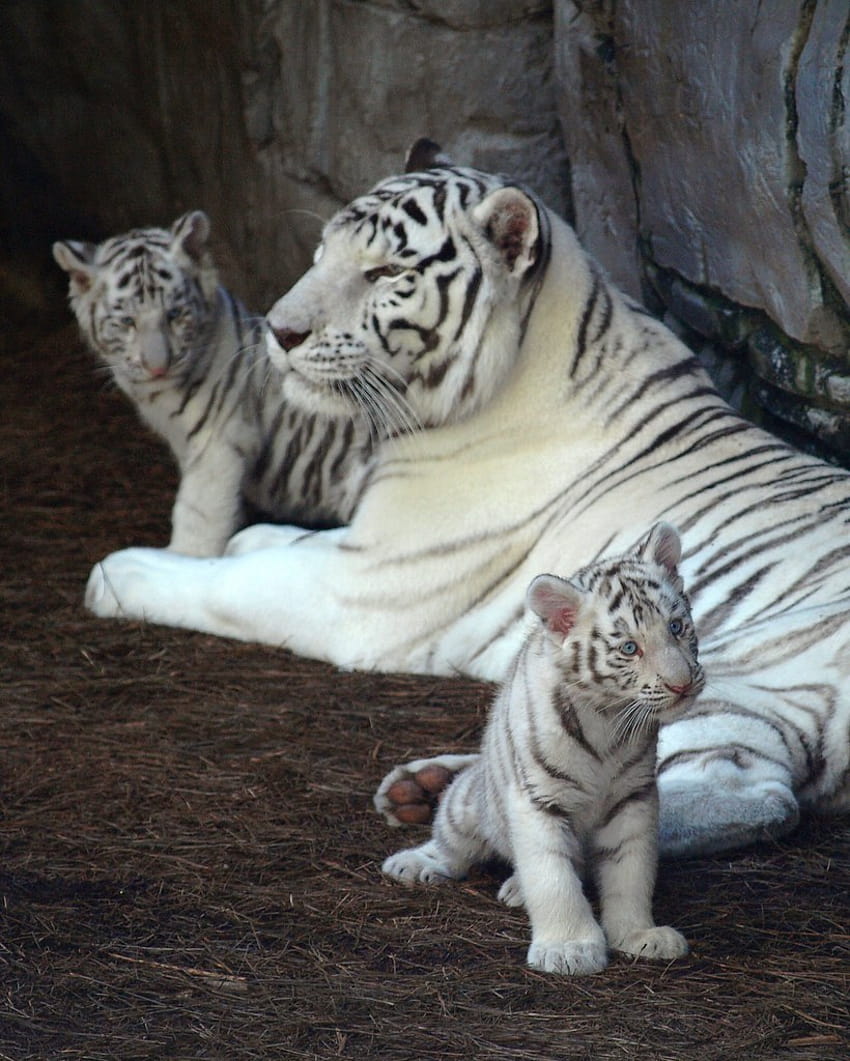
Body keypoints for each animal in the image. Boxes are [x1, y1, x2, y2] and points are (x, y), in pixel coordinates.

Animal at [53, 213, 371, 555]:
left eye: (175, 314)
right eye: (127, 321)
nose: (158, 366)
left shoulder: (216, 446)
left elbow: (198, 516)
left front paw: (183, 557)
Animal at [382, 517, 700, 971]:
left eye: (676, 626)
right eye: (629, 648)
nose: (682, 684)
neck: (608, 718)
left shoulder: (633, 798)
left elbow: (630, 871)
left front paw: (638, 934)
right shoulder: (537, 800)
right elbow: (553, 877)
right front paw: (569, 949)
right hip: (465, 804)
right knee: (450, 845)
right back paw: (415, 862)